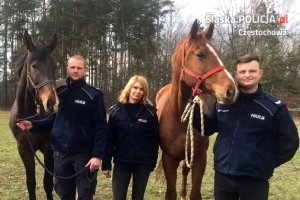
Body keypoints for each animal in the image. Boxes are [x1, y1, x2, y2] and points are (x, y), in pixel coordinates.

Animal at [8, 31, 59, 200]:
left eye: (53, 65)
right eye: (34, 66)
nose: (52, 103)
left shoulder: (48, 148)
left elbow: (47, 183)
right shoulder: (24, 148)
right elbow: (31, 183)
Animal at [156, 19, 238, 200]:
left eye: (219, 53)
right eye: (200, 54)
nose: (231, 90)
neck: (178, 115)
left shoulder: (200, 159)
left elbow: (195, 193)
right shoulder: (168, 159)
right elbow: (170, 192)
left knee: (185, 172)